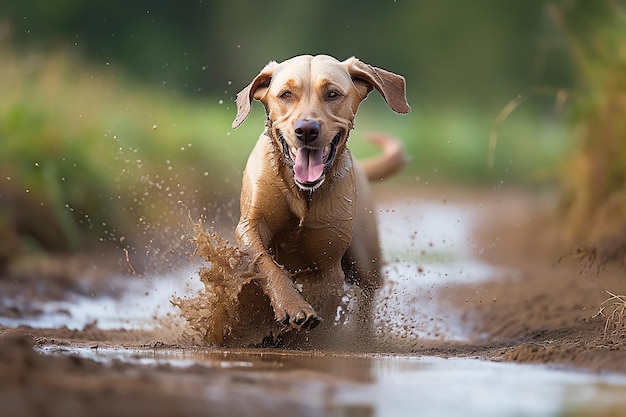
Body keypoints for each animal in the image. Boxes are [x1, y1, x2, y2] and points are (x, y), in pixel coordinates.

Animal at [229, 55, 410, 342]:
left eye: (332, 94)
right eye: (286, 94)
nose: (306, 129)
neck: (303, 193)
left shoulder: (329, 262)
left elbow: (324, 291)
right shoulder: (250, 226)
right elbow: (266, 264)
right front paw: (292, 307)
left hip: (366, 260)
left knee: (367, 298)